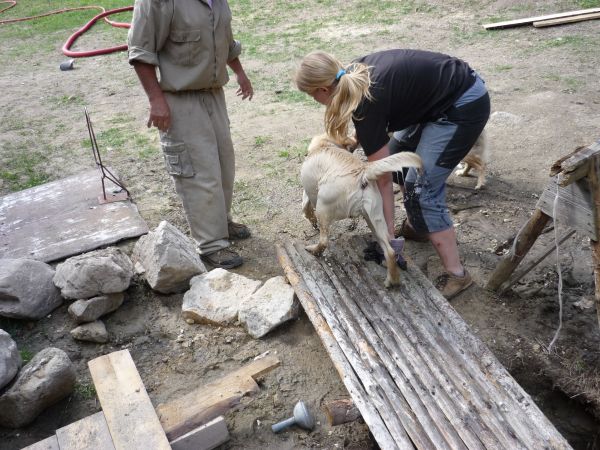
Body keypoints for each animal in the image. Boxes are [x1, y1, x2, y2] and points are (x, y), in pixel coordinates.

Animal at [300, 134, 422, 288]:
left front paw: (312, 220)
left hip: (323, 207)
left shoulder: (308, 192)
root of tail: (363, 171)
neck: (325, 144)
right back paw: (392, 281)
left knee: (323, 241)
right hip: (375, 219)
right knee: (390, 251)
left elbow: (306, 207)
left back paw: (313, 250)